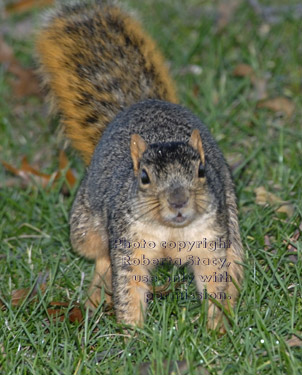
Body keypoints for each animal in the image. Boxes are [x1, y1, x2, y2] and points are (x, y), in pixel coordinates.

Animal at [36, 0, 243, 330]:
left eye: (200, 171)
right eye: (144, 177)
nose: (178, 202)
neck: (171, 230)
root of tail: (142, 104)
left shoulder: (209, 241)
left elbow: (214, 283)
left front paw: (216, 329)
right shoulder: (130, 244)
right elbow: (128, 288)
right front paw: (133, 333)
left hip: (231, 221)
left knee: (233, 258)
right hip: (85, 227)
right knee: (101, 256)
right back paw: (95, 297)